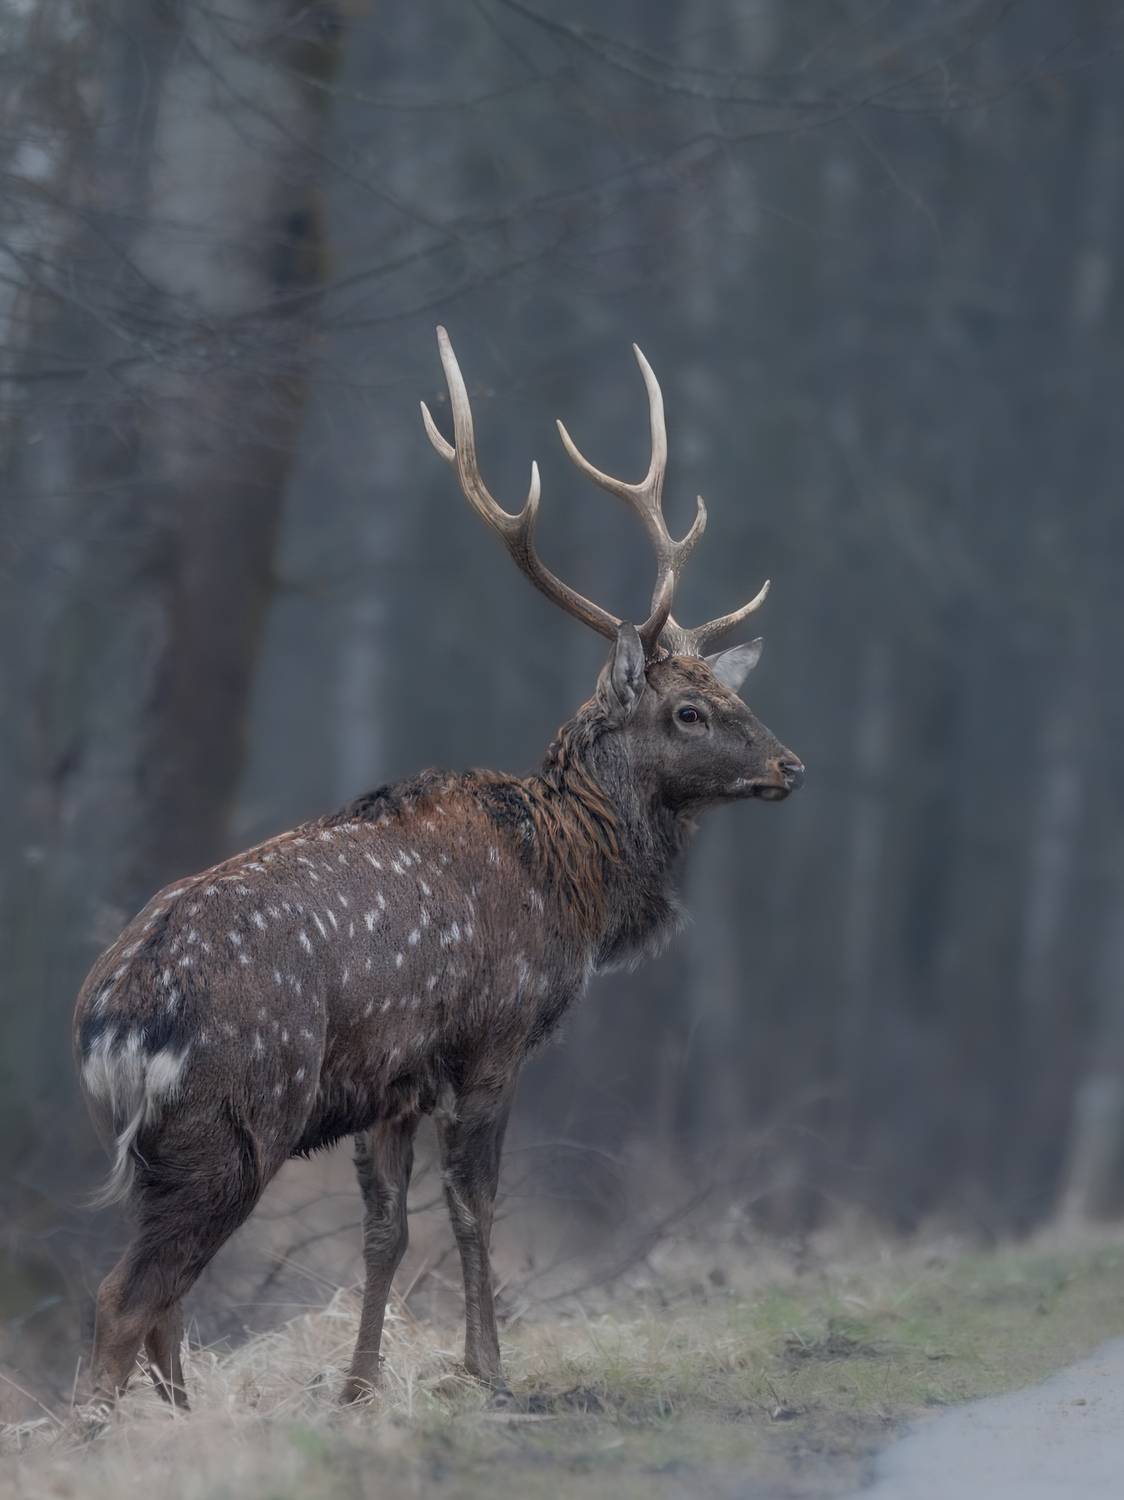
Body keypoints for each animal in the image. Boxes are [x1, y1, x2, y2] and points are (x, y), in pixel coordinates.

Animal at [74, 327, 803, 1410]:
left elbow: (385, 1232)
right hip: (235, 1117)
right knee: (125, 1298)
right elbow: (474, 1205)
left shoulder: (391, 1083)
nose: (789, 766)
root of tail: (112, 1022)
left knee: (156, 1298)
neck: (566, 882)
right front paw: (488, 1367)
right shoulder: (490, 1040)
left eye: (728, 691)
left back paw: (182, 1417)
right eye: (689, 711)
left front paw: (360, 1386)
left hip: (153, 1142)